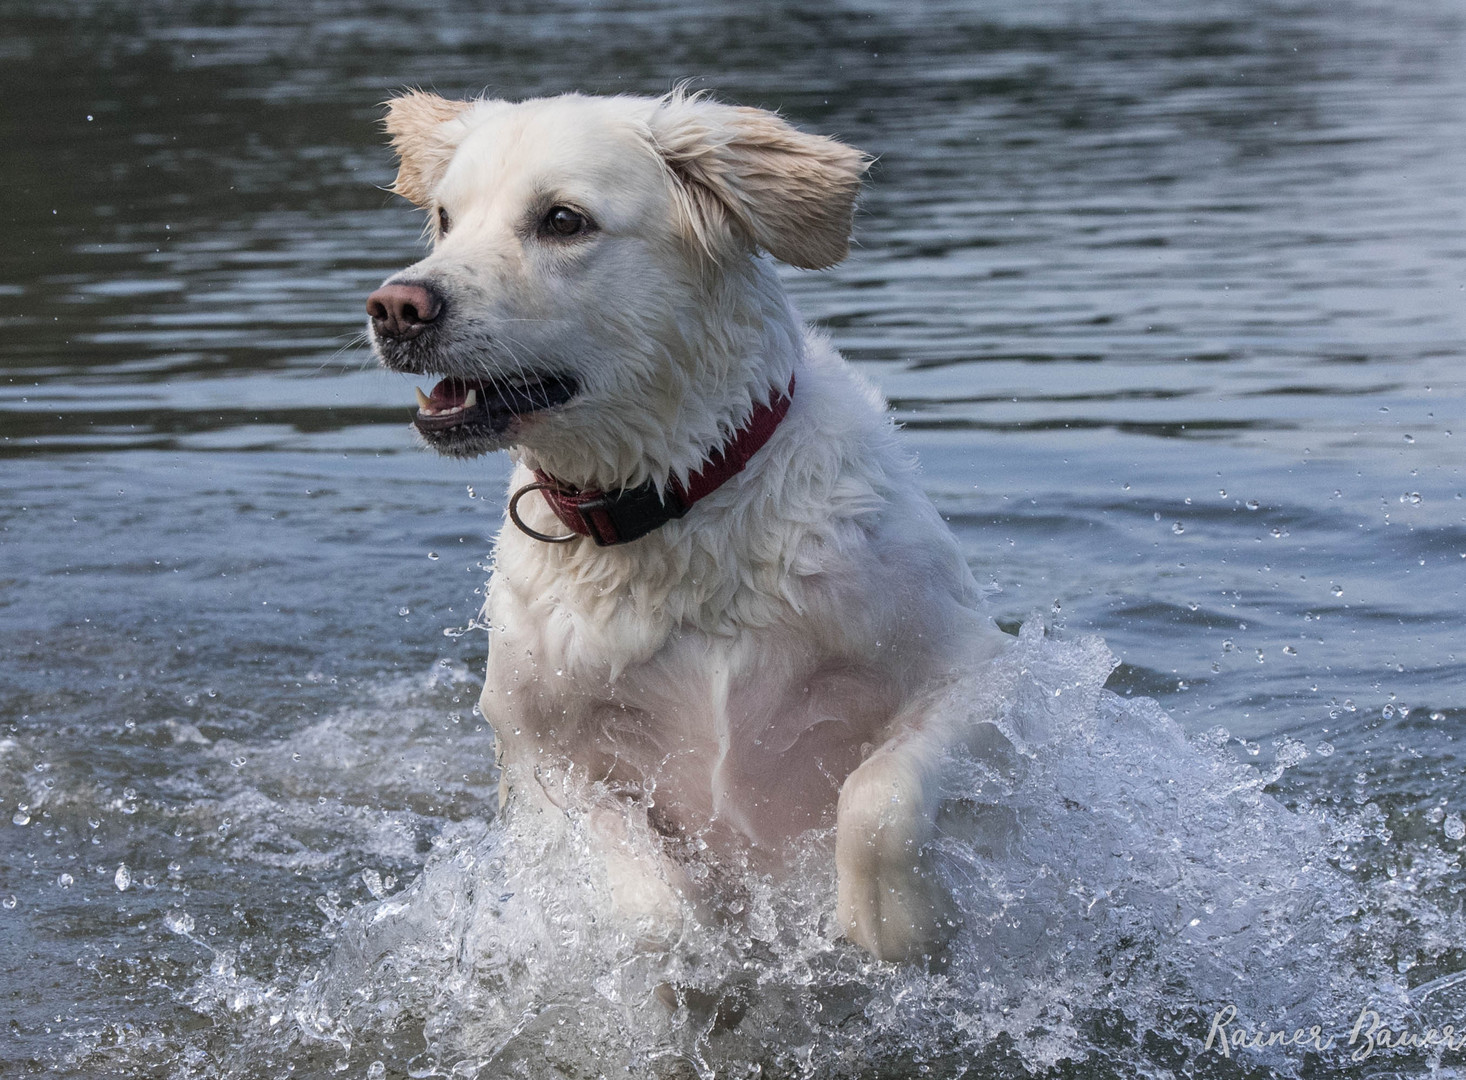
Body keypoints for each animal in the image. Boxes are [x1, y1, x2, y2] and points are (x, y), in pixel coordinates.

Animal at [366, 88, 1008, 955]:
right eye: (444, 217)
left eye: (562, 220)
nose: (397, 308)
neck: (673, 505)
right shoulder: (536, 750)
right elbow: (650, 900)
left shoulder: (977, 667)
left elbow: (881, 801)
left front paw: (895, 924)